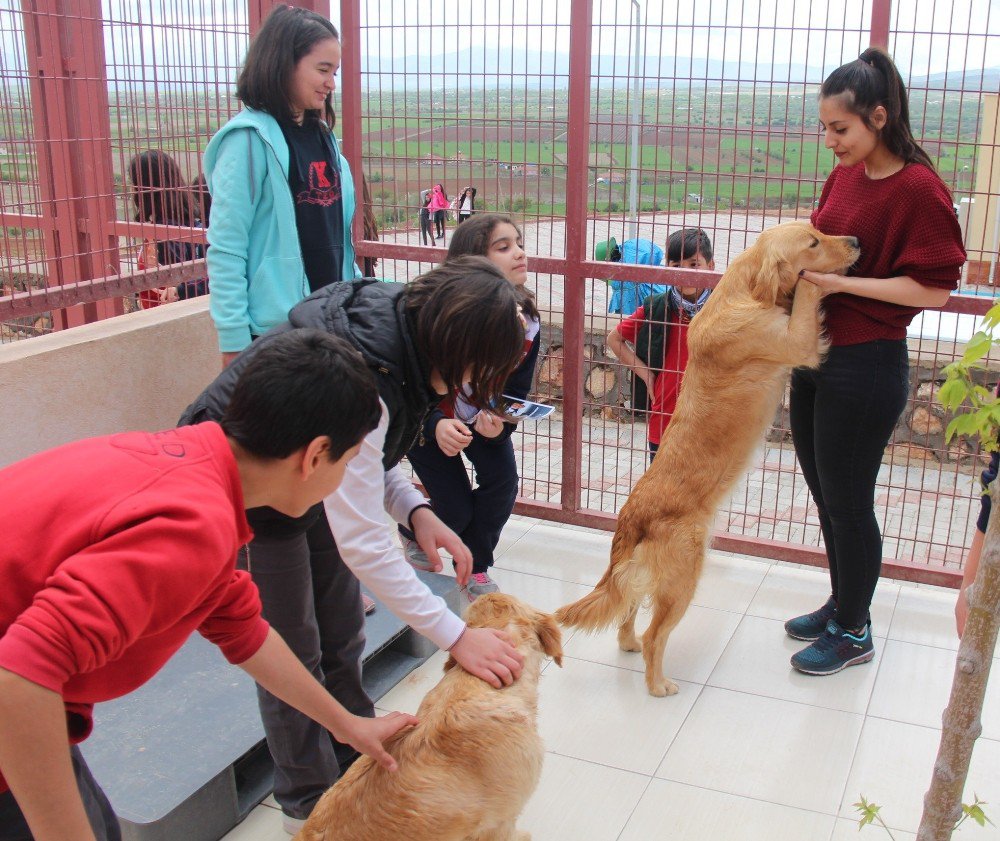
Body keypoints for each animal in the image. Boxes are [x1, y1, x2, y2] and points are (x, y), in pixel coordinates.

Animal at [556, 218, 860, 696]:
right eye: (813, 242)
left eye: (819, 229)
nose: (856, 241)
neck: (749, 289)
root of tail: (631, 516)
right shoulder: (797, 342)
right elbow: (810, 292)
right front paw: (816, 280)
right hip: (685, 577)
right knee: (654, 635)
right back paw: (658, 685)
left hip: (649, 576)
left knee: (628, 611)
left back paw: (629, 647)